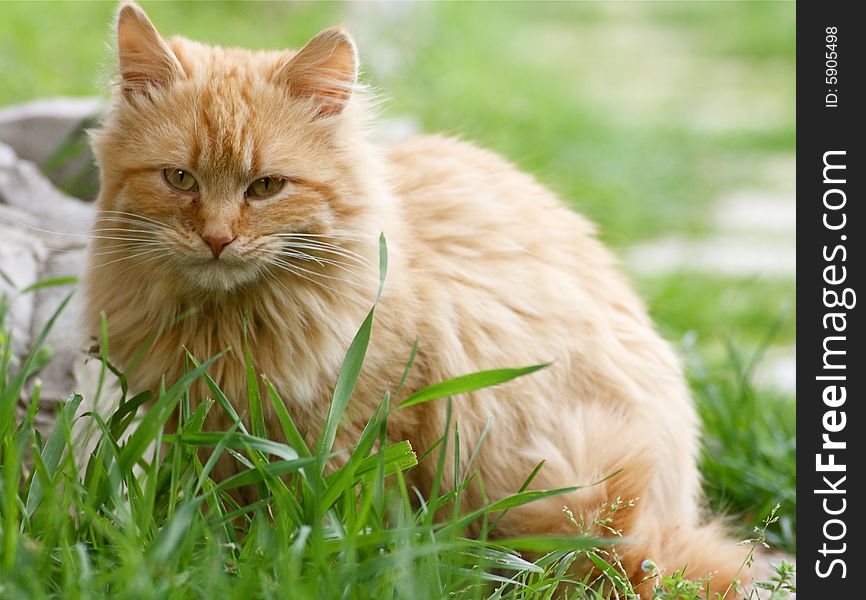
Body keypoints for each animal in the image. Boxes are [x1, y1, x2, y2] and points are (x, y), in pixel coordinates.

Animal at [86, 3, 748, 596]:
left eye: (266, 187)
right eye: (180, 179)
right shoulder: (198, 428)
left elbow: (326, 512)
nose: (218, 239)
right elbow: (215, 512)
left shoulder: (360, 423)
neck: (230, 327)